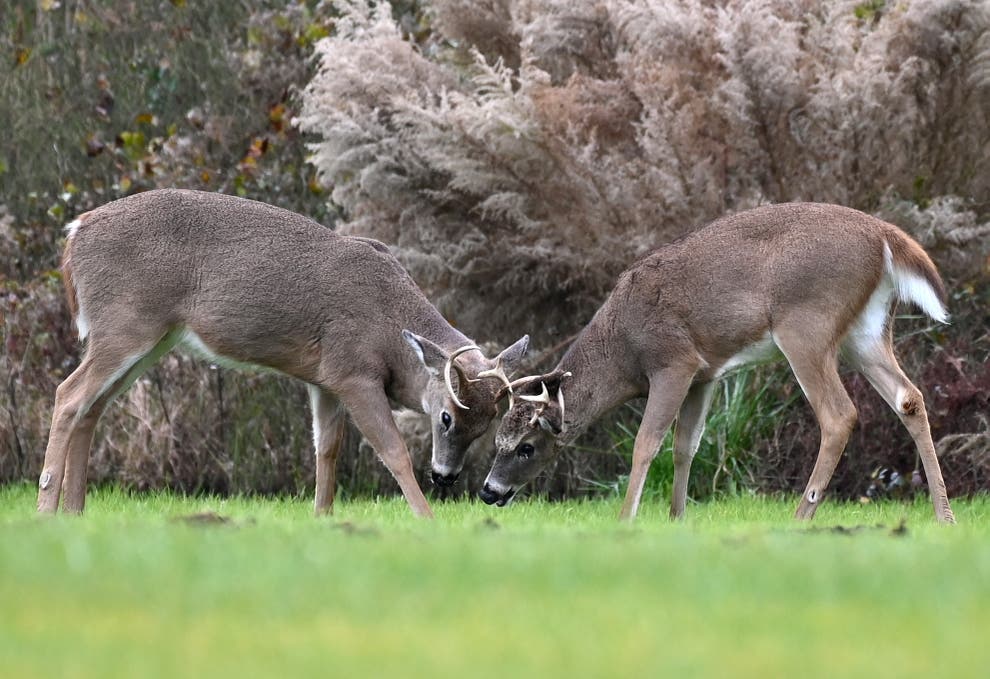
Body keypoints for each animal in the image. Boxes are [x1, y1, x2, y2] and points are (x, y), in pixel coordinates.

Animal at [39, 188, 529, 518]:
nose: (446, 476)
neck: (390, 328)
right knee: (68, 395)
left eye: (487, 424)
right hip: (125, 323)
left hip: (149, 338)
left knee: (92, 406)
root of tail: (75, 233)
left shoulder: (325, 379)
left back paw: (75, 511)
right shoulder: (353, 371)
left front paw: (322, 518)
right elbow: (393, 451)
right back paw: (46, 509)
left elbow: (326, 450)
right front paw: (426, 520)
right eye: (446, 417)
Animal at [477, 203, 956, 524]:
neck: (622, 347)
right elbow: (686, 444)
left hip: (806, 324)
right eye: (497, 440)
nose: (488, 491)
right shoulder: (704, 374)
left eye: (526, 446)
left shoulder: (674, 360)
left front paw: (626, 519)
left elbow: (647, 442)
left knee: (839, 415)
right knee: (909, 397)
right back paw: (943, 515)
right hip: (866, 331)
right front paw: (677, 518)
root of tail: (885, 236)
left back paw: (800, 517)